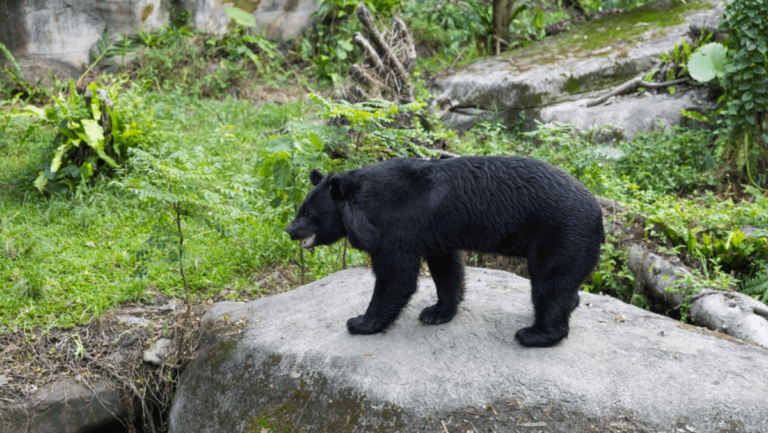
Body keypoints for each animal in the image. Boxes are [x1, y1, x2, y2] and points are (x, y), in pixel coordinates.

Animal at [285, 156, 605, 347]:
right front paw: (436, 312)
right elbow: (446, 268)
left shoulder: (396, 227)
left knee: (550, 283)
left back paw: (535, 334)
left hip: (561, 235)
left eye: (310, 215)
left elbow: (396, 277)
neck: (363, 206)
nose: (289, 230)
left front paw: (360, 323)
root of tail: (599, 214)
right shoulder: (436, 230)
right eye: (300, 210)